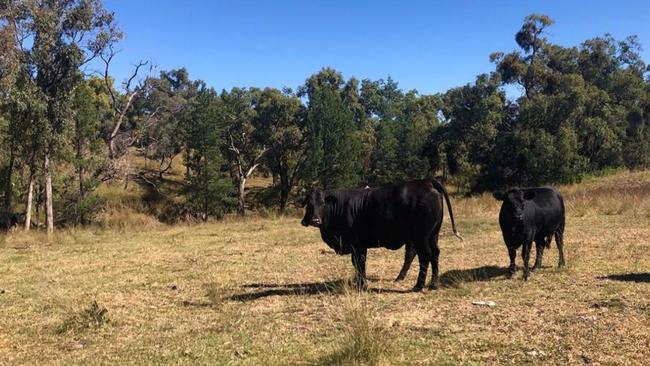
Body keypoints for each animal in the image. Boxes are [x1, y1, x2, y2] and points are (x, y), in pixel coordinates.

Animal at [300, 178, 460, 292]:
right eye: (309, 204)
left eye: (323, 203)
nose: (315, 220)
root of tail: (426, 181)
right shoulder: (355, 247)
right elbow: (356, 264)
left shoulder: (358, 245)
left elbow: (360, 264)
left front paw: (362, 285)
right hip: (433, 235)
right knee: (435, 254)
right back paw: (433, 284)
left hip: (421, 236)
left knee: (425, 255)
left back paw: (418, 285)